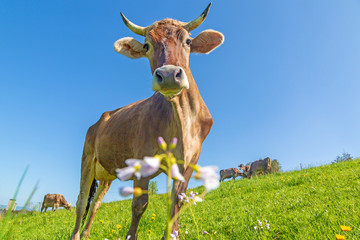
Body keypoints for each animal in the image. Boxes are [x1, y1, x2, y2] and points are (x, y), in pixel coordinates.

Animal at [70, 3, 224, 240]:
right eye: (146, 45)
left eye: (188, 41)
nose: (169, 75)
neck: (182, 120)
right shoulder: (142, 160)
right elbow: (139, 204)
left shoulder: (189, 161)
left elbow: (176, 202)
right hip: (87, 158)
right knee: (80, 201)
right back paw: (77, 235)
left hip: (106, 173)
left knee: (95, 203)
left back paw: (86, 234)